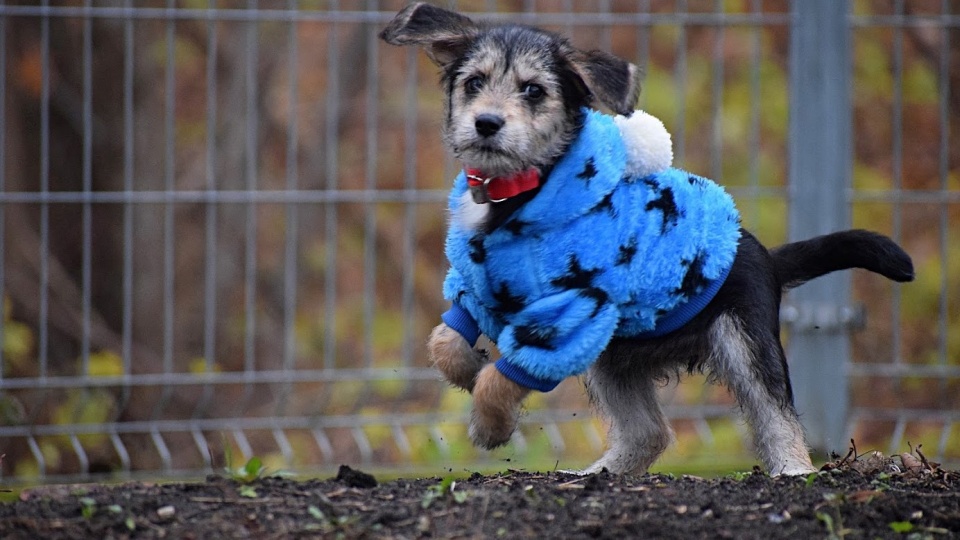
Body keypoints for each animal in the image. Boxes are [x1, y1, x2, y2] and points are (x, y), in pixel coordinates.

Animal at [376, 4, 916, 476]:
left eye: (533, 90)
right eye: (473, 83)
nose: (486, 123)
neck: (520, 195)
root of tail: (765, 255)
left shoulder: (570, 315)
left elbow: (503, 378)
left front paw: (490, 426)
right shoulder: (483, 288)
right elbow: (445, 340)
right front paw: (466, 368)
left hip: (741, 338)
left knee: (775, 415)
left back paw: (793, 472)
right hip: (616, 356)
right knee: (649, 432)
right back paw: (594, 474)